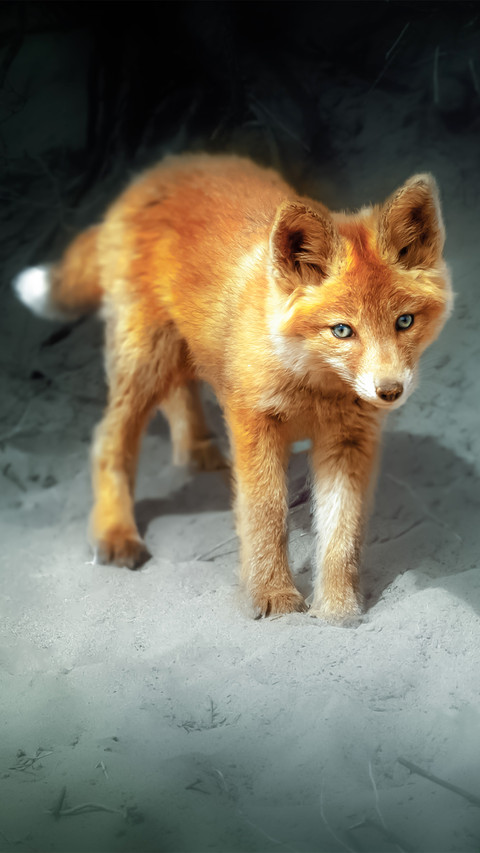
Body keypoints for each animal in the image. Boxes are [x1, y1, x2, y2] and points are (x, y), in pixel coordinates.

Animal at [13, 154, 452, 622]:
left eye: (404, 321)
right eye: (342, 330)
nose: (389, 391)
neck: (312, 387)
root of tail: (159, 170)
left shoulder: (348, 442)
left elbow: (342, 534)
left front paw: (337, 609)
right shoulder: (254, 425)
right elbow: (266, 515)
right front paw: (274, 596)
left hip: (175, 355)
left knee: (179, 394)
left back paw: (196, 449)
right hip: (145, 360)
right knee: (108, 440)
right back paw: (116, 532)